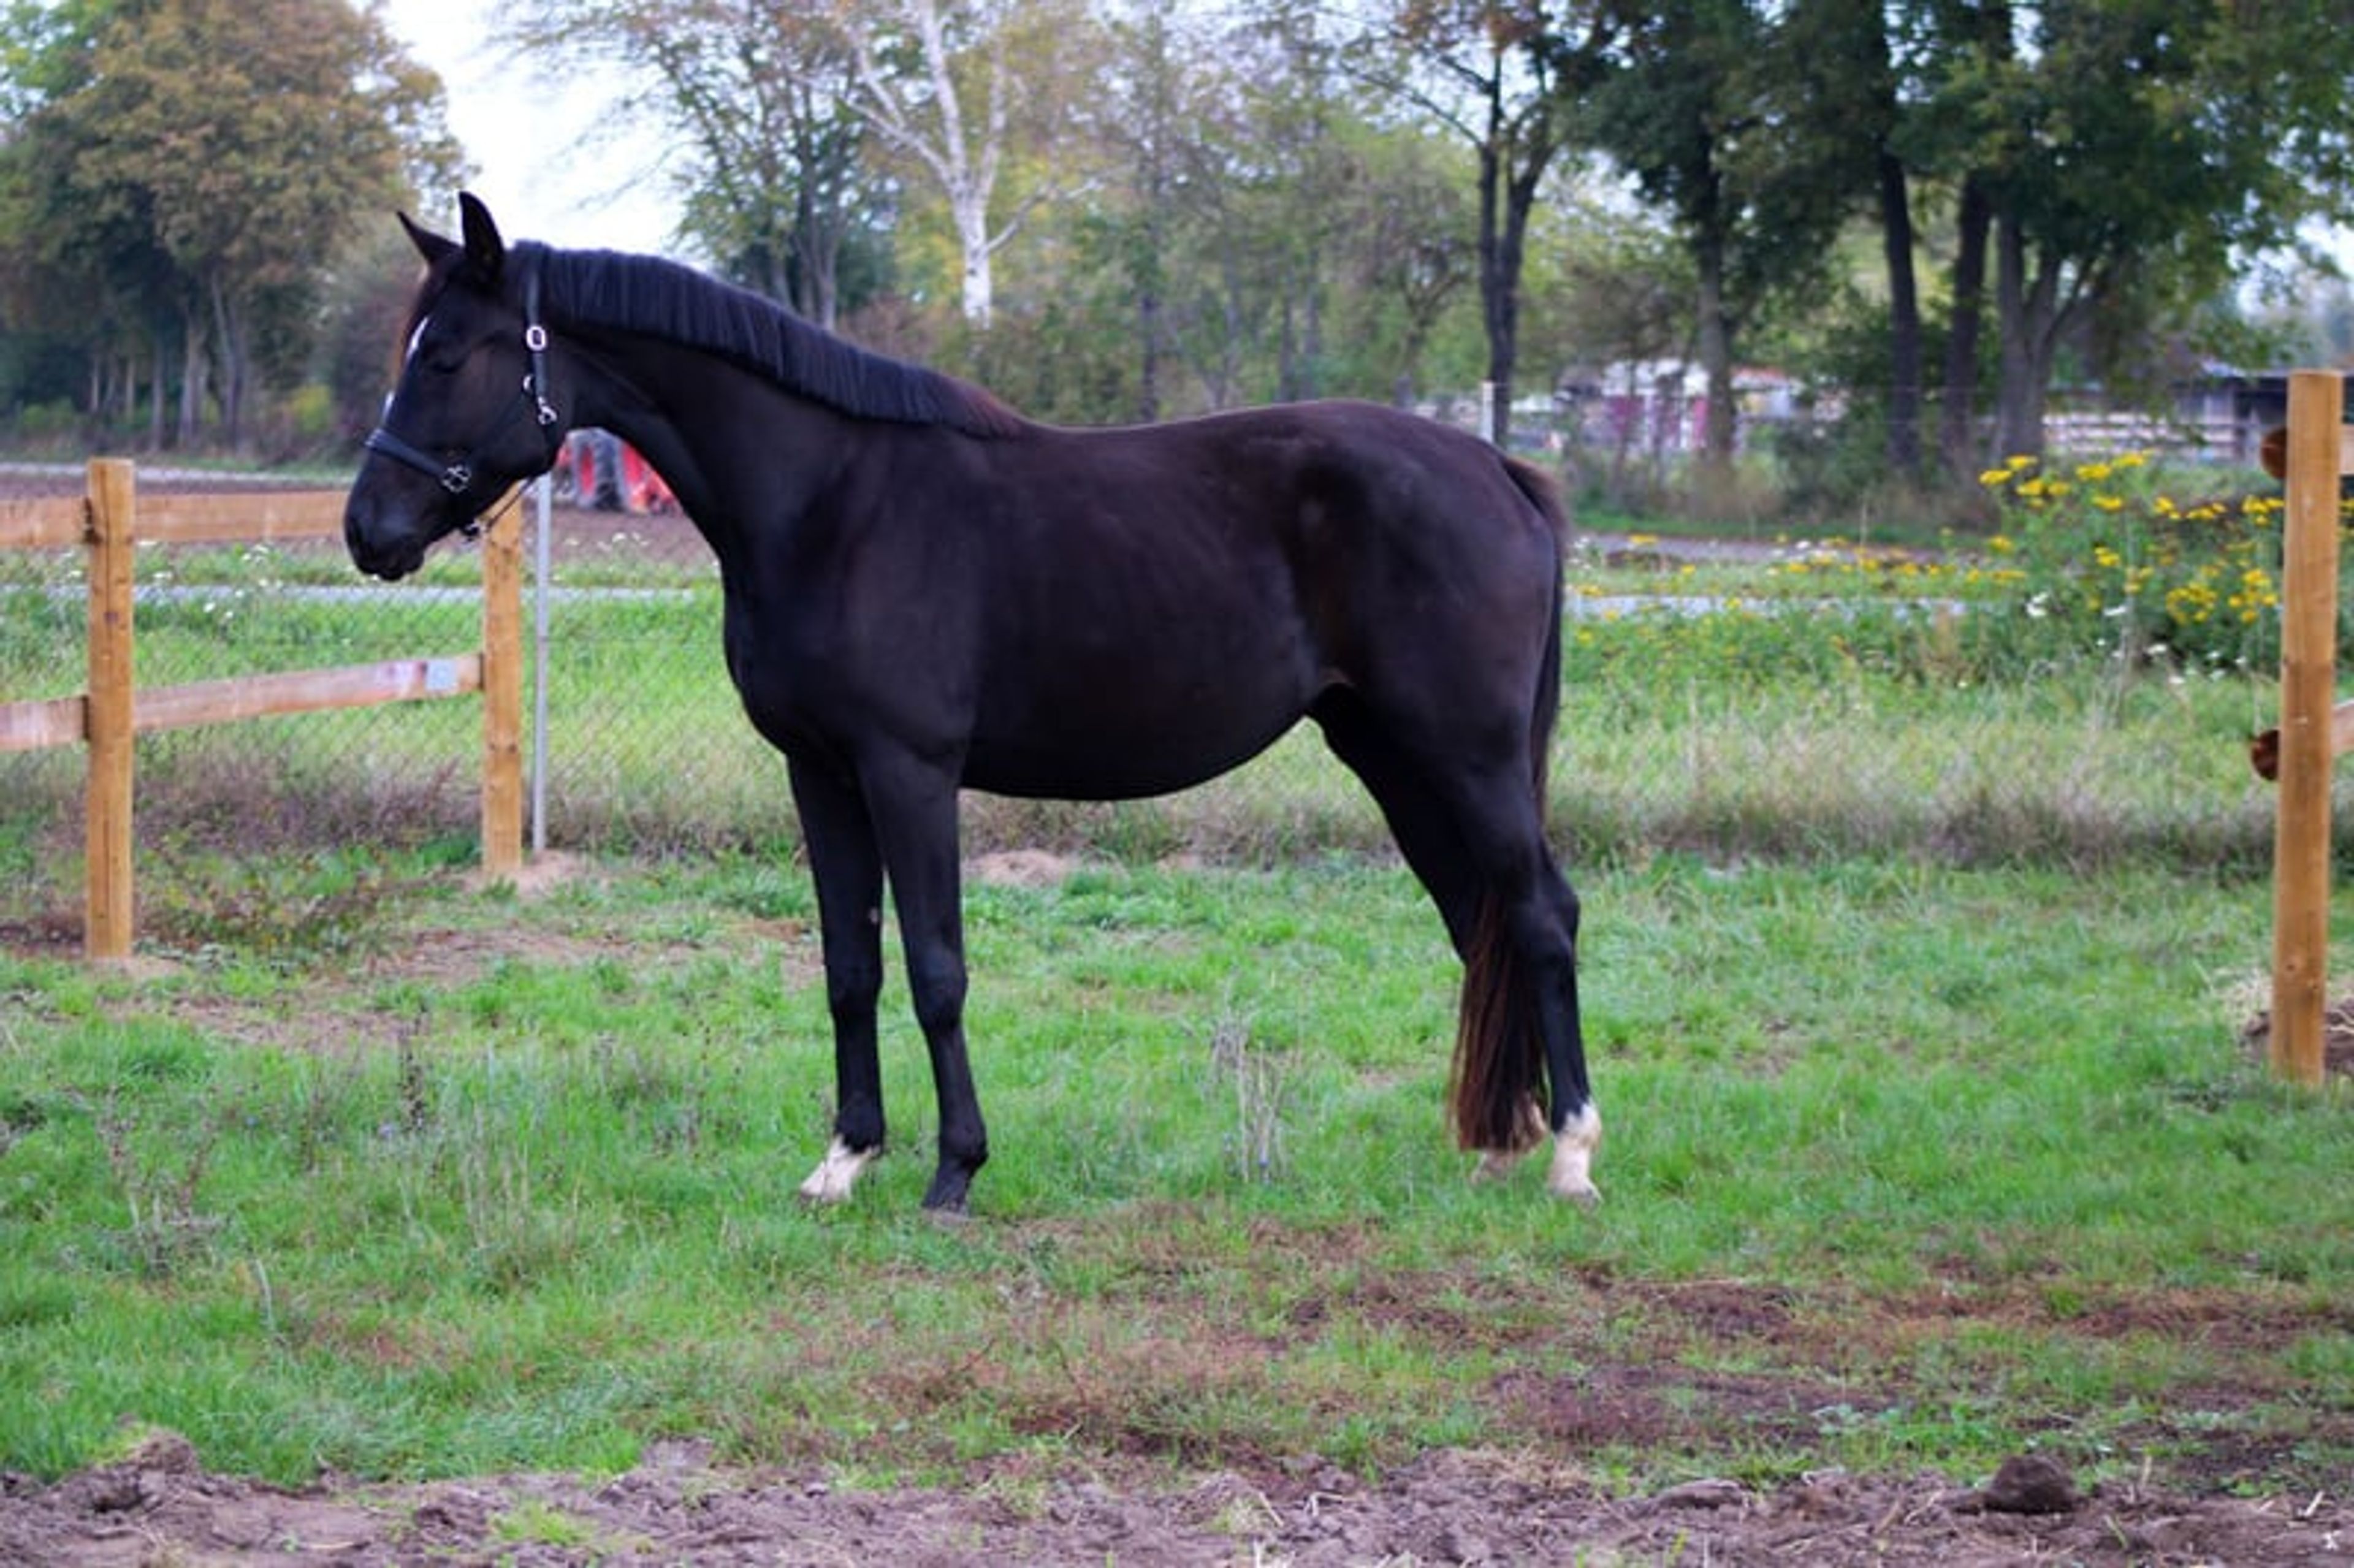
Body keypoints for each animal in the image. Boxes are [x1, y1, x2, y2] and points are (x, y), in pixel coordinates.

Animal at [343, 194, 1600, 1214]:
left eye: (447, 356)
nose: (367, 530)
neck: (831, 504)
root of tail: (1496, 471)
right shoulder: (820, 772)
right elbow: (849, 964)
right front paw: (845, 1158)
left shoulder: (911, 771)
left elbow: (936, 968)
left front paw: (955, 1169)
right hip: (1393, 756)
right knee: (1477, 919)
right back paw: (1505, 1142)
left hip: (1470, 757)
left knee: (1540, 913)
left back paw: (1574, 1154)